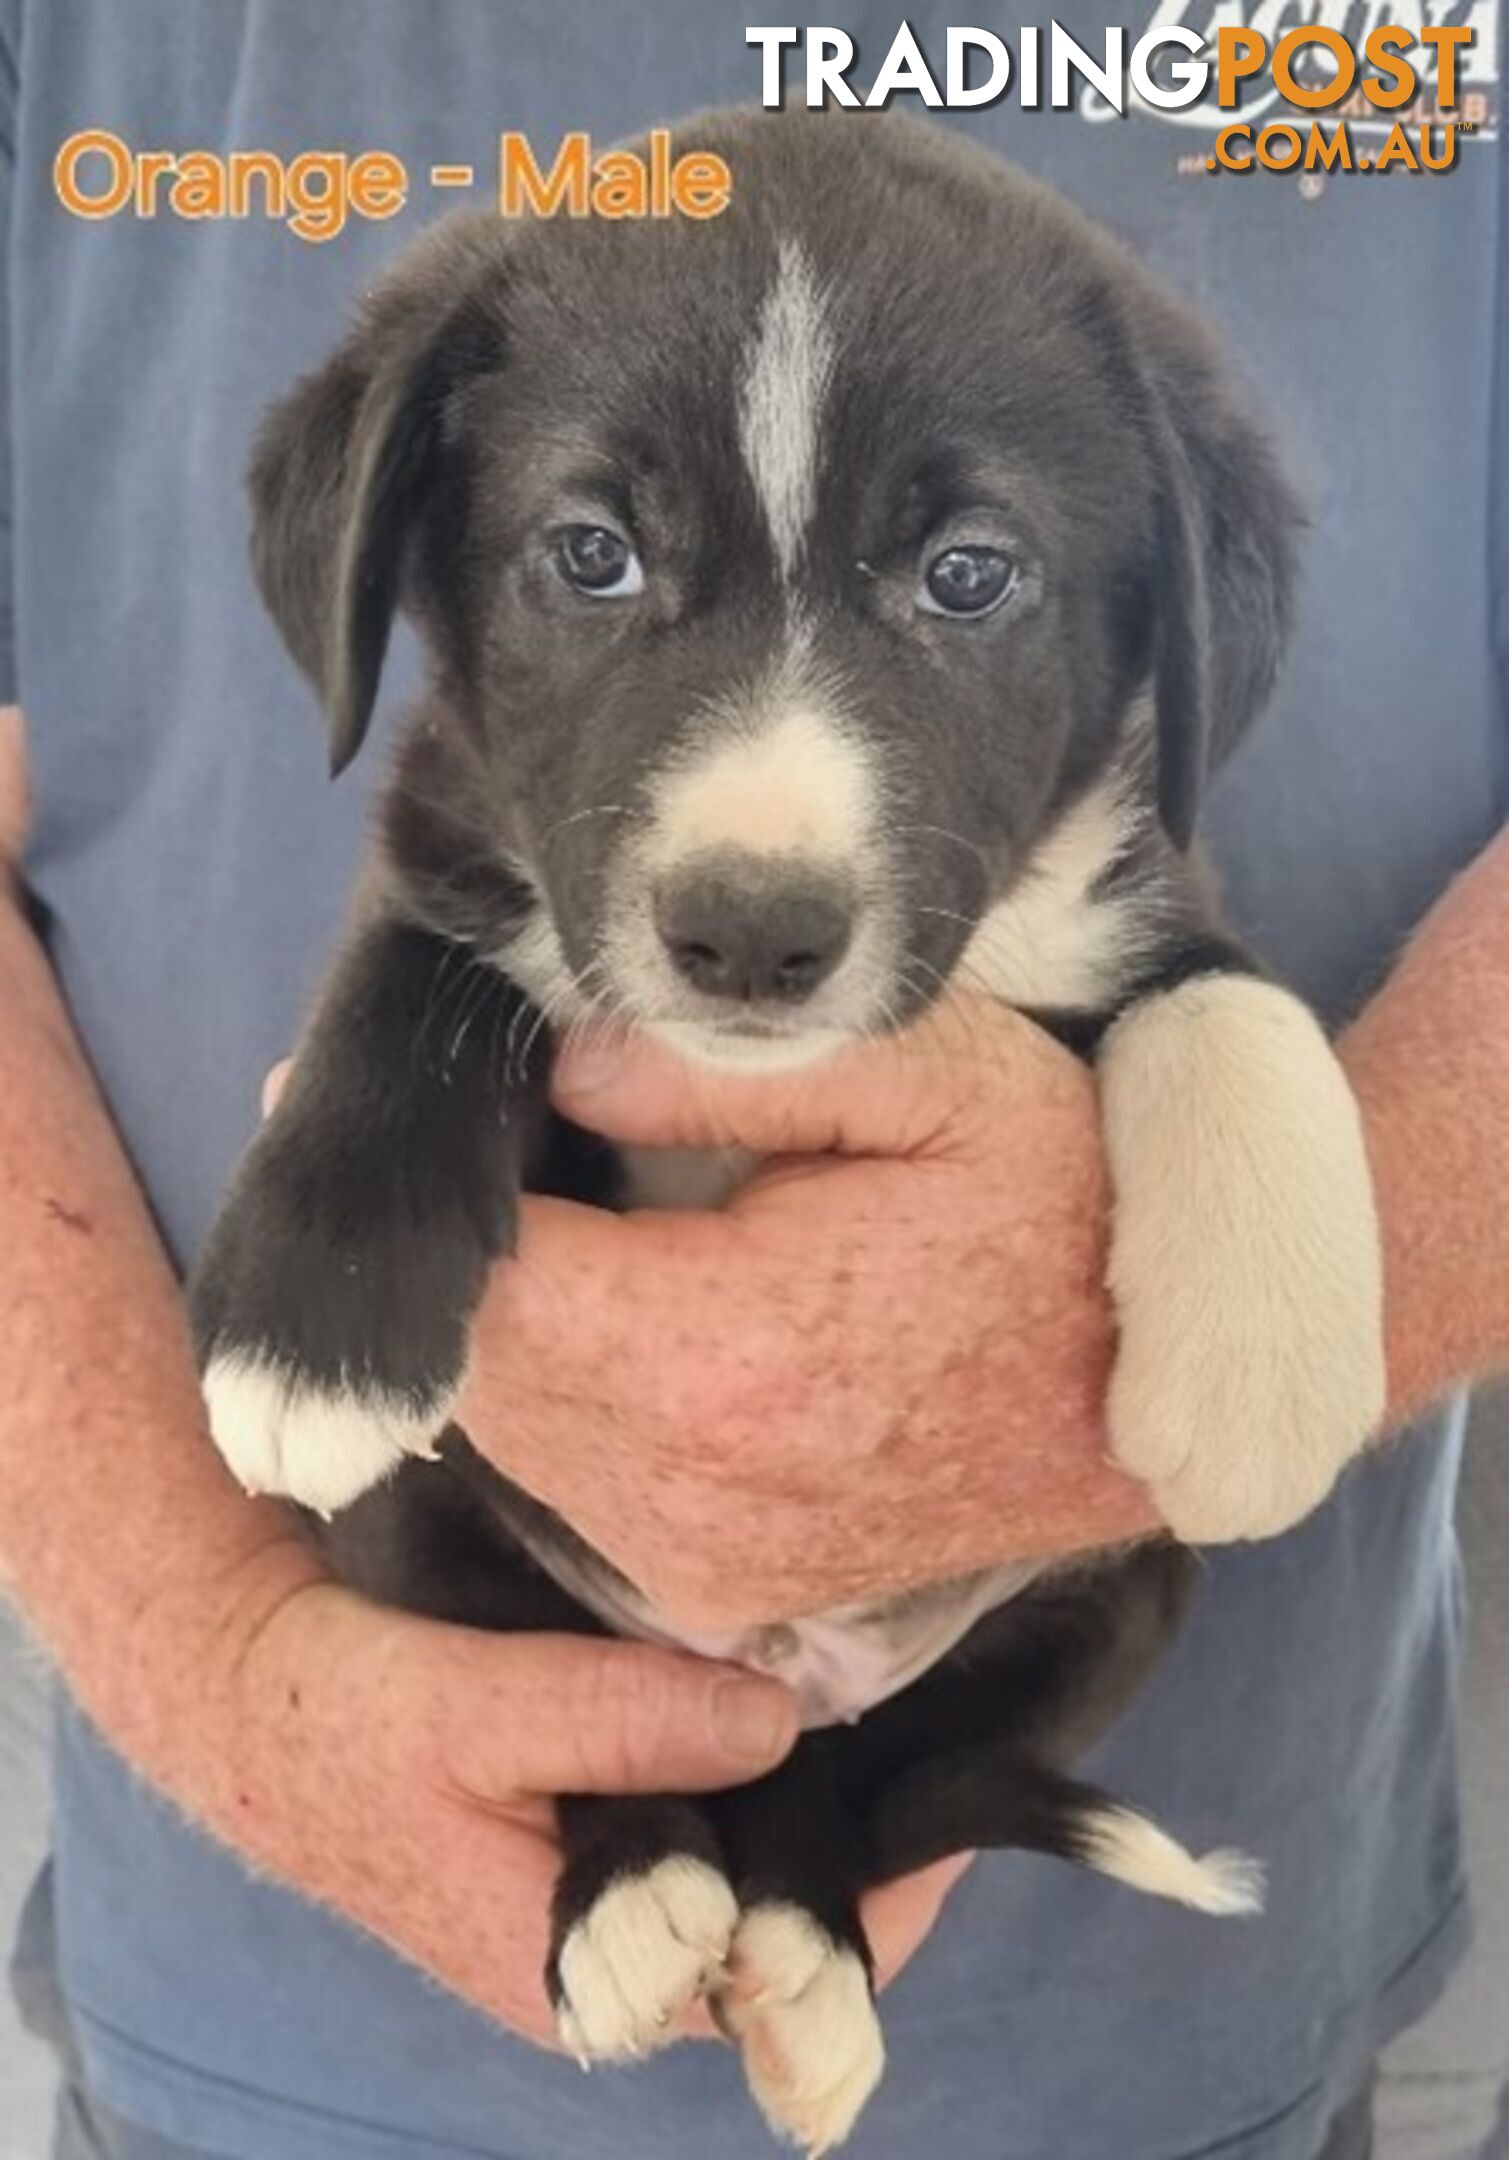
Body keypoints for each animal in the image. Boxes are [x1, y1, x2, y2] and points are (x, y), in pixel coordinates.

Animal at [192, 109, 1390, 2151]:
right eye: (588, 555)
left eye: (969, 575)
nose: (751, 932)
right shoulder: (461, 847)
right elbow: (417, 985)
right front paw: (312, 1323)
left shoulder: (1127, 887)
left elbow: (1225, 1000)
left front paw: (1260, 1372)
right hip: (431, 1530)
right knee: (603, 1728)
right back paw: (632, 1890)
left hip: (1108, 1603)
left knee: (862, 1785)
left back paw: (809, 1954)